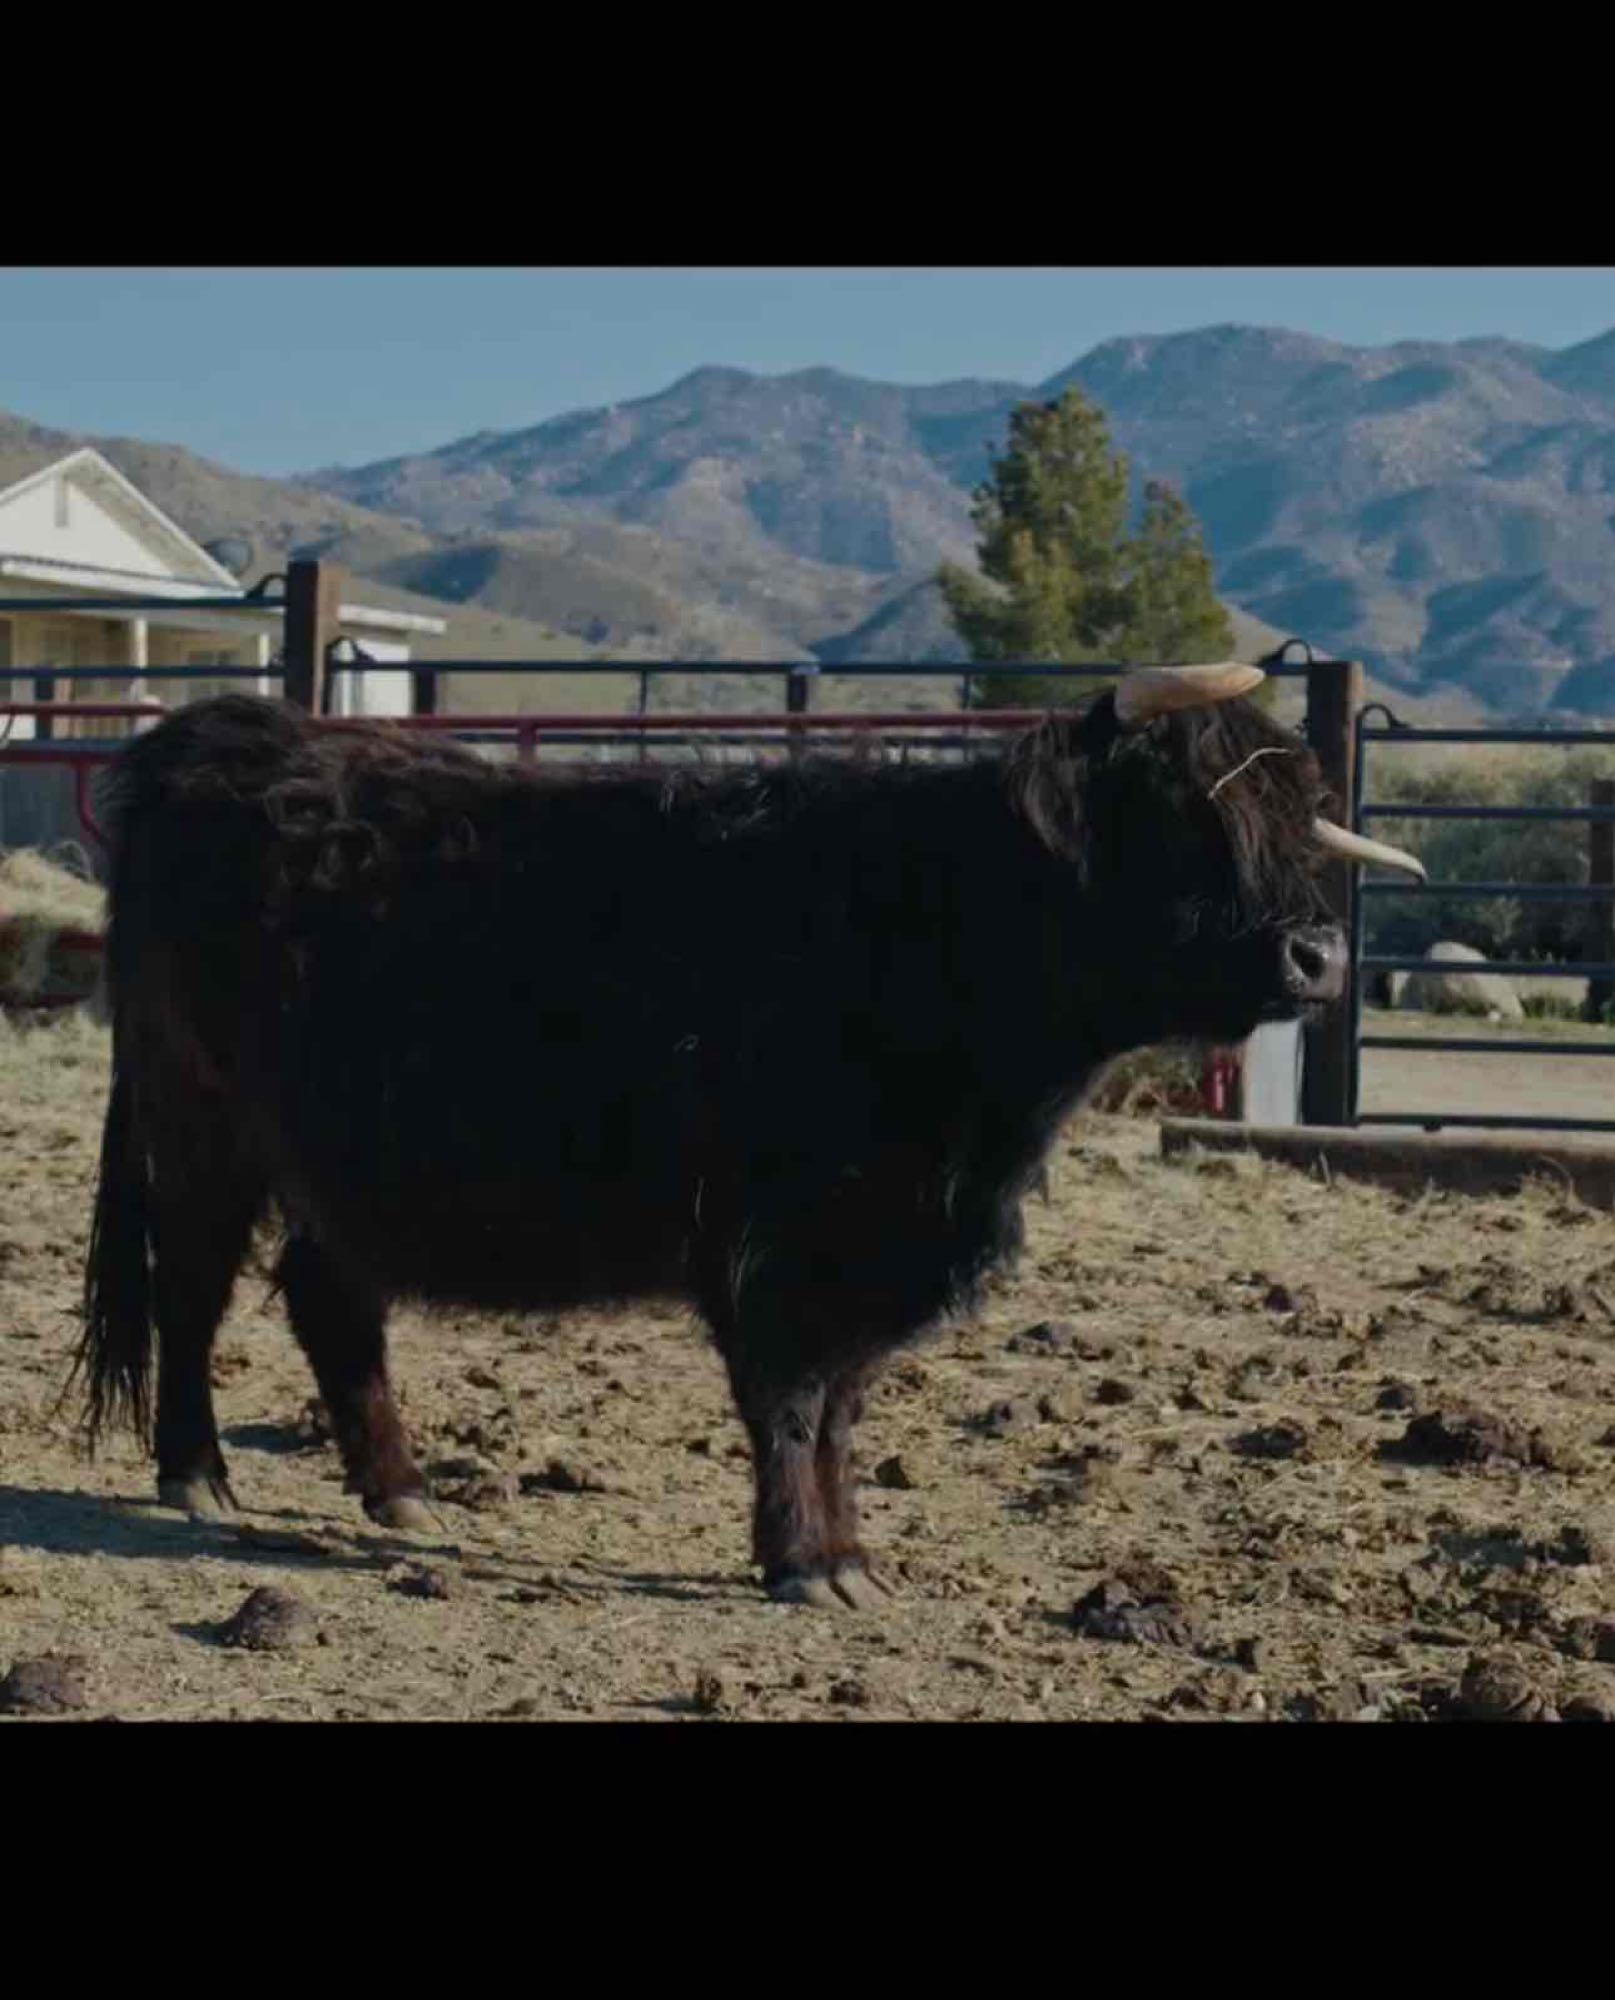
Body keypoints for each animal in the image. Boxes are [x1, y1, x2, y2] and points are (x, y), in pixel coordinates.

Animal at [71, 666, 1422, 1609]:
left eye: (1295, 819)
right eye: (1175, 814)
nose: (1318, 955)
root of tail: (234, 730)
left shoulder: (875, 1242)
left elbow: (842, 1406)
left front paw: (849, 1551)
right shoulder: (770, 1237)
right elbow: (788, 1396)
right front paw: (799, 1559)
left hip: (339, 1159)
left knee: (328, 1296)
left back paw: (400, 1490)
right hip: (201, 1122)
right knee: (192, 1288)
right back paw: (197, 1475)